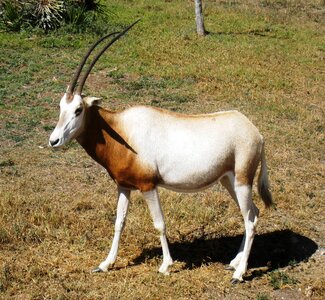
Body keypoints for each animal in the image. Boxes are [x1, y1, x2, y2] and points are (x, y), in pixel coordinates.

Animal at [49, 21, 274, 284]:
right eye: (61, 106)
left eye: (78, 110)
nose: (54, 141)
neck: (120, 131)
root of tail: (257, 133)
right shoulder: (124, 185)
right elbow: (119, 222)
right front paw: (105, 264)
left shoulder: (148, 185)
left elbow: (159, 223)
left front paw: (166, 265)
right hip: (229, 181)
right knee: (251, 214)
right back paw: (234, 263)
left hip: (242, 181)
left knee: (250, 220)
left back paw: (239, 274)